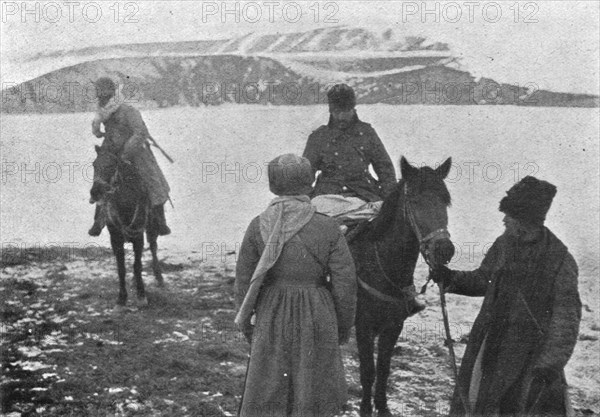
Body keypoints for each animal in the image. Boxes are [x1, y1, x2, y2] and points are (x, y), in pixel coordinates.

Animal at [89, 145, 164, 308]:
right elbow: (121, 267)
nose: (95, 192)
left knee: (153, 247)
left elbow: (137, 265)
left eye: (111, 165)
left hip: (151, 228)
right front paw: (122, 297)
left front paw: (141, 295)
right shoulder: (115, 237)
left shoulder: (138, 235)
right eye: (94, 165)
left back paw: (159, 276)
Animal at [350, 157, 452, 416]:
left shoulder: (393, 326)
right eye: (414, 200)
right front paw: (365, 409)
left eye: (446, 201)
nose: (445, 250)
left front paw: (383, 407)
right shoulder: (363, 326)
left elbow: (384, 369)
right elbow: (368, 371)